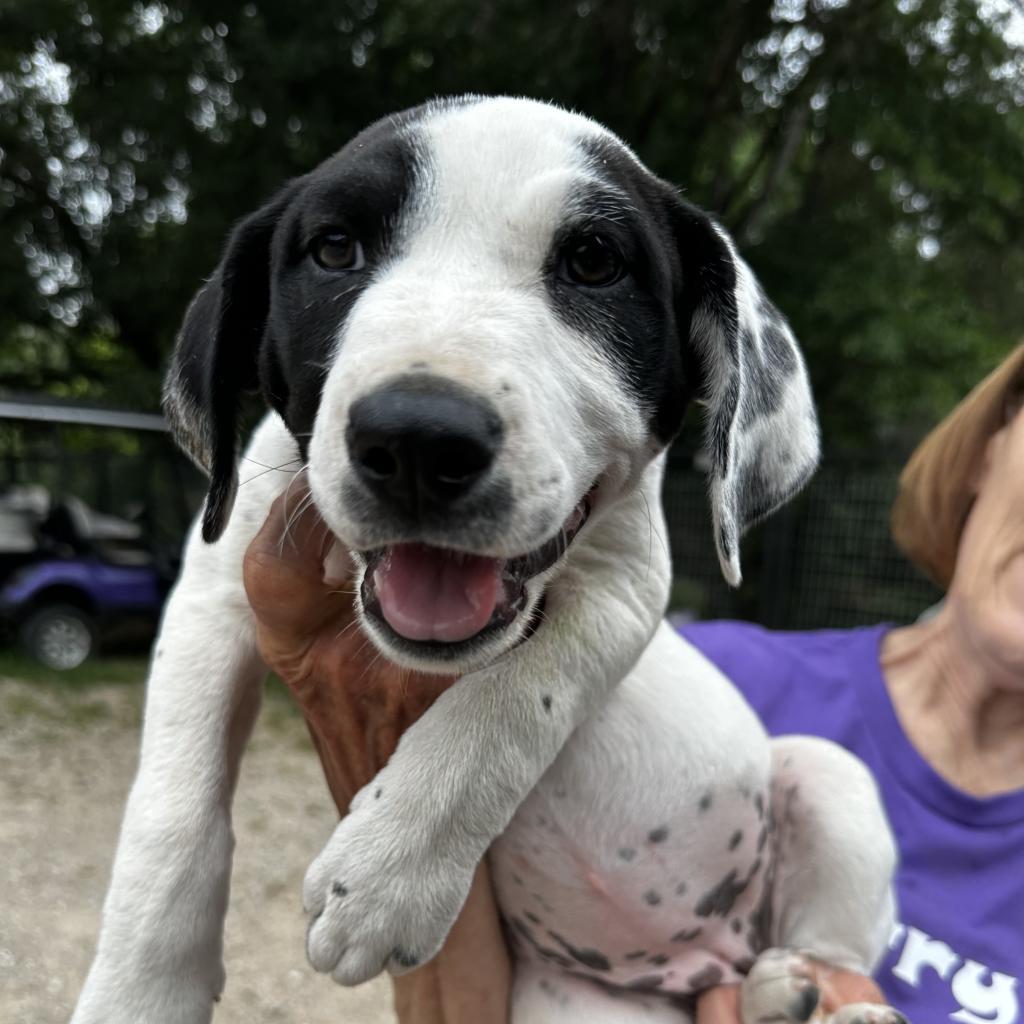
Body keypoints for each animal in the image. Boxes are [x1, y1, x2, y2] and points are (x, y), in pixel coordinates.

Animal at [72, 97, 905, 1024]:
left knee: (832, 948)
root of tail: (701, 960)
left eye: (594, 262)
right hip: (574, 1004)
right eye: (334, 249)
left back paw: (816, 994)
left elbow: (513, 698)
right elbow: (173, 807)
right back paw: (772, 996)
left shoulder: (627, 589)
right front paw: (142, 989)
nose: (417, 440)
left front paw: (387, 877)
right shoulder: (213, 596)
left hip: (827, 773)